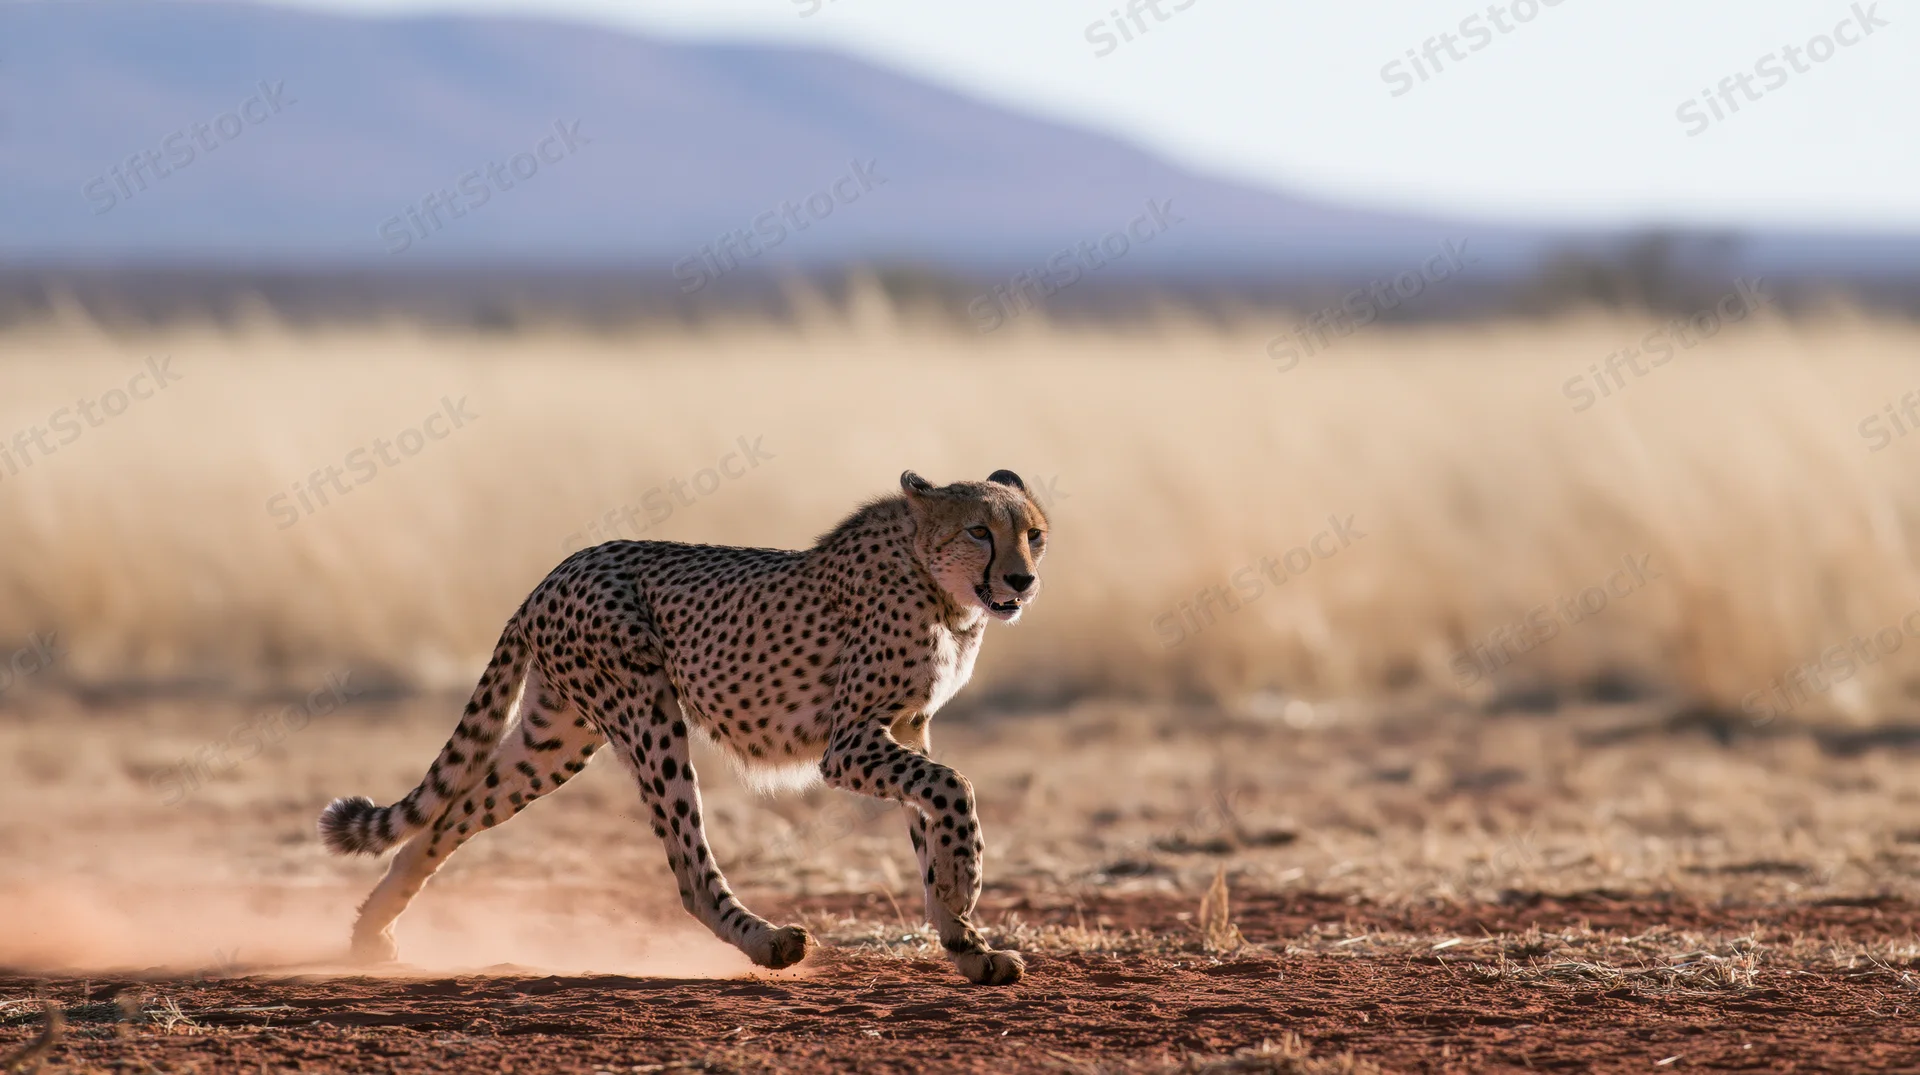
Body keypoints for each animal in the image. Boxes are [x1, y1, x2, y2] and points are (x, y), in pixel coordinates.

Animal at [318, 469, 1048, 985]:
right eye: (979, 531)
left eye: (1034, 534)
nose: (1022, 579)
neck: (941, 590)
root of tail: (554, 572)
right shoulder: (849, 743)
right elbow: (954, 786)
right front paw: (965, 886)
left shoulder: (908, 728)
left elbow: (929, 820)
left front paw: (965, 939)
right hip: (646, 711)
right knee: (690, 870)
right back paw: (766, 940)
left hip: (554, 740)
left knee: (448, 816)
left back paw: (371, 931)